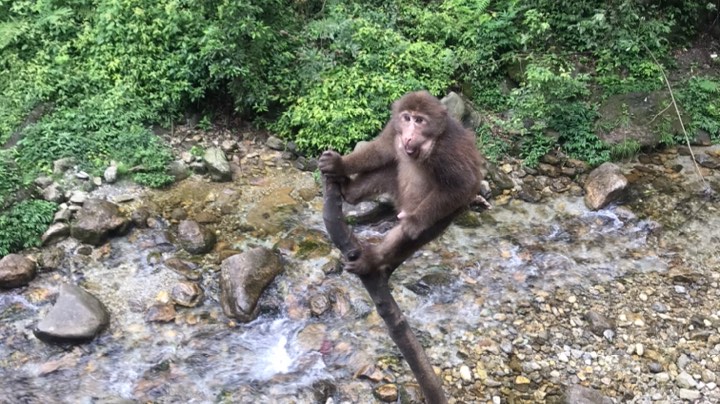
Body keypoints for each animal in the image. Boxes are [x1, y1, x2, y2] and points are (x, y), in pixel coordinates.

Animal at [320, 90, 484, 274]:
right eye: (407, 118)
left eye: (419, 120)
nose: (409, 135)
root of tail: (402, 205)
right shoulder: (394, 127)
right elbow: (381, 150)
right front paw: (339, 165)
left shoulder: (446, 148)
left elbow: (464, 184)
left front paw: (414, 221)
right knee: (389, 169)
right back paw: (349, 191)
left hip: (442, 212)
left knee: (409, 232)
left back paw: (372, 262)